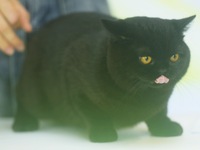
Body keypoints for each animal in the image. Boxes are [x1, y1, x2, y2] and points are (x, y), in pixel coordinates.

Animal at [12, 12, 195, 142]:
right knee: (21, 97)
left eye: (174, 57)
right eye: (146, 58)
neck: (142, 96)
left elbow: (159, 112)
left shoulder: (161, 100)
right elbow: (95, 114)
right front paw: (103, 133)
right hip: (35, 93)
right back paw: (23, 123)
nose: (164, 69)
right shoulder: (77, 87)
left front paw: (164, 127)